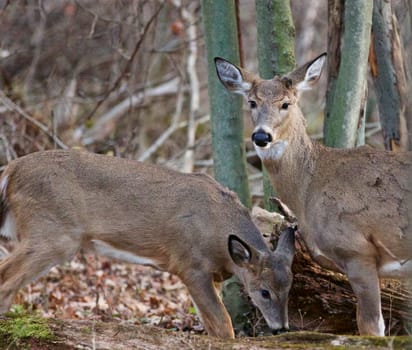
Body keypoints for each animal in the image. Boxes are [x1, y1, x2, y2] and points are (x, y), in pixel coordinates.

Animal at [0, 150, 296, 340]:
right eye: (264, 292)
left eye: (289, 288)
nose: (281, 328)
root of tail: (10, 170)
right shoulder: (190, 266)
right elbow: (224, 325)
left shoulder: (210, 276)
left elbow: (212, 325)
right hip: (52, 233)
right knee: (7, 278)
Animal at [216, 52, 412, 336]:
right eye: (252, 102)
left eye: (286, 104)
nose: (261, 136)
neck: (309, 188)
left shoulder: (357, 250)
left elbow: (370, 326)